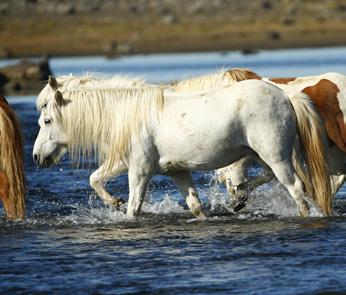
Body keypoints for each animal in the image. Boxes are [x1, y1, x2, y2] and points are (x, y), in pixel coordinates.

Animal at [33, 75, 332, 220]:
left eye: (47, 120)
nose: (37, 157)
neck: (128, 114)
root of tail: (286, 96)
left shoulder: (139, 171)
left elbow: (133, 208)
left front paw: (120, 209)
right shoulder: (174, 171)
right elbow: (194, 206)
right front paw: (113, 201)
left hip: (276, 157)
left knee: (296, 189)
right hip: (265, 156)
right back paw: (239, 199)